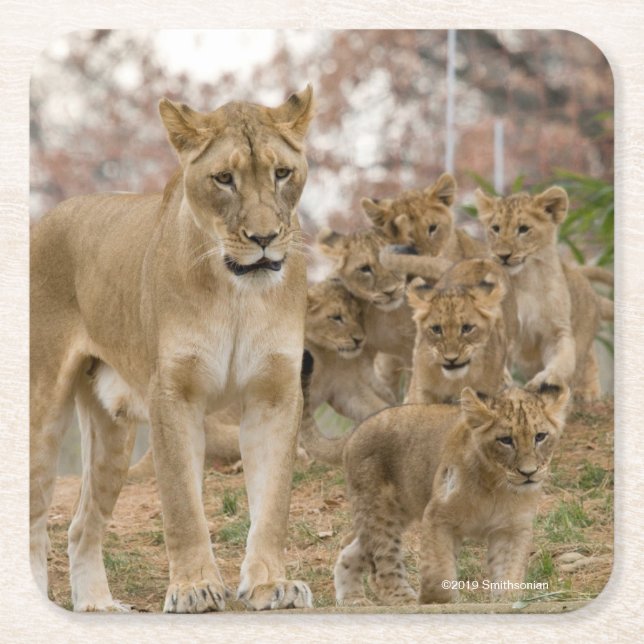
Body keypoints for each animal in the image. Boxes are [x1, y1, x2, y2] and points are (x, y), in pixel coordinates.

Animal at [30, 86, 315, 613]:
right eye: (223, 179)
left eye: (282, 173)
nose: (265, 238)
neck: (237, 292)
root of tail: (46, 219)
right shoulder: (174, 394)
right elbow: (183, 503)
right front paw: (194, 588)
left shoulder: (275, 393)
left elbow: (274, 501)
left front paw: (271, 585)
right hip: (42, 413)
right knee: (34, 519)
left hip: (112, 433)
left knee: (81, 526)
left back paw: (98, 604)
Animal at [330, 384, 568, 606]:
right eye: (506, 440)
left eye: (540, 437)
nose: (529, 473)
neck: (497, 487)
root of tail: (356, 431)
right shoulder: (438, 516)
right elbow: (438, 571)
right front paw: (436, 602)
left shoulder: (511, 528)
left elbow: (508, 574)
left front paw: (506, 601)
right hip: (379, 511)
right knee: (381, 571)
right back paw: (406, 602)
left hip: (396, 513)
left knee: (350, 549)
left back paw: (352, 599)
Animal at [475, 186, 604, 400]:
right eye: (496, 228)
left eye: (523, 229)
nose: (502, 256)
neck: (525, 280)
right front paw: (500, 380)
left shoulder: (557, 330)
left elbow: (564, 360)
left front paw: (546, 380)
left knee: (586, 361)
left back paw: (587, 392)